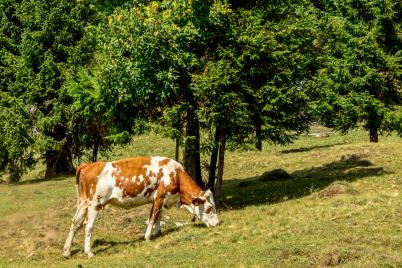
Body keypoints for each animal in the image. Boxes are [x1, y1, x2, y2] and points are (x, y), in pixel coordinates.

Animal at [62, 156, 220, 258]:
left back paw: (66, 252)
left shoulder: (160, 199)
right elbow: (152, 217)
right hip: (95, 204)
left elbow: (159, 216)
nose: (217, 223)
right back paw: (89, 252)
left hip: (83, 203)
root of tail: (88, 165)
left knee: (75, 223)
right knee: (88, 226)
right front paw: (148, 237)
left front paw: (158, 233)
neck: (176, 174)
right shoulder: (160, 196)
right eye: (209, 208)